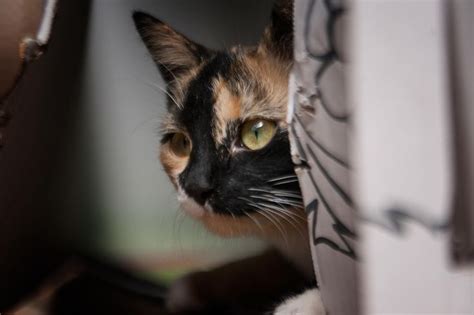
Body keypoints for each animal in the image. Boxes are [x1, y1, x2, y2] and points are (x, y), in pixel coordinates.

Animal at [133, 1, 326, 314]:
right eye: (180, 143)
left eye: (257, 132)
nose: (196, 186)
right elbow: (260, 262)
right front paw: (196, 285)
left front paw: (303, 304)